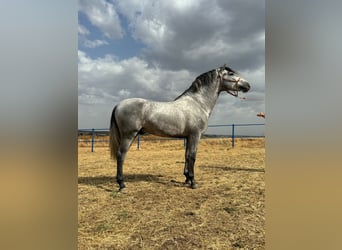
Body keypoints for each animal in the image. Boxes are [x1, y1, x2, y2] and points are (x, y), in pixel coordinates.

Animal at [109, 64, 251, 191]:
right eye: (231, 73)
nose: (248, 85)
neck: (198, 103)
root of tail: (118, 105)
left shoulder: (188, 137)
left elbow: (186, 155)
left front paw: (187, 178)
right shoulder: (195, 135)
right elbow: (193, 156)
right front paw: (193, 182)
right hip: (129, 135)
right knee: (121, 155)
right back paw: (121, 184)